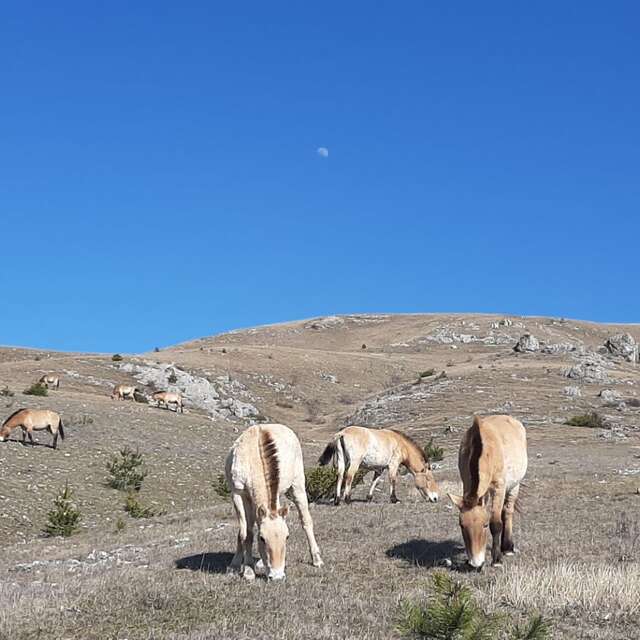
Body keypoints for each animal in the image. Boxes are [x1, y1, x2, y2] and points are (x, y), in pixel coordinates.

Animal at [225, 423, 323, 581]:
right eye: (262, 538)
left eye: (287, 537)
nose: (277, 576)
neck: (253, 458)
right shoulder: (238, 494)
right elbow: (245, 532)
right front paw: (244, 569)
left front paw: (249, 568)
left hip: (297, 486)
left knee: (306, 521)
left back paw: (317, 559)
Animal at [448, 414, 528, 569]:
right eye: (462, 525)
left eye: (485, 525)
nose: (475, 563)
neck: (486, 450)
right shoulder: (466, 483)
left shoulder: (499, 487)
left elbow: (496, 523)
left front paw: (496, 559)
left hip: (514, 486)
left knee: (507, 511)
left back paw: (507, 548)